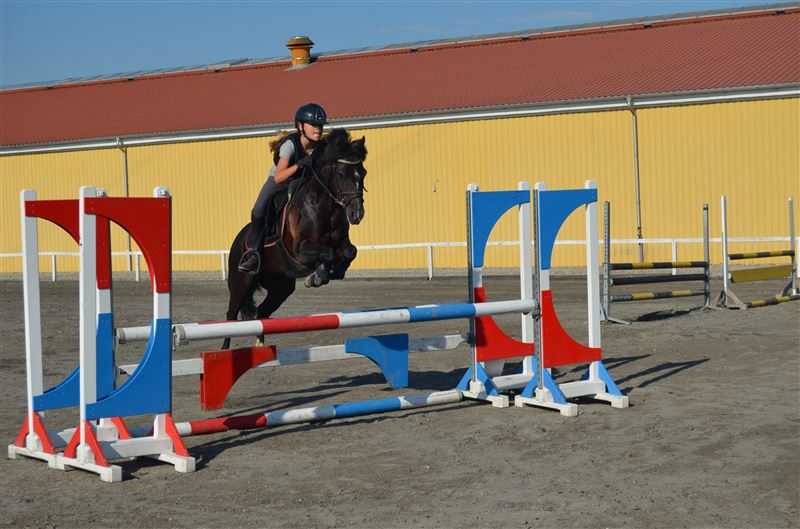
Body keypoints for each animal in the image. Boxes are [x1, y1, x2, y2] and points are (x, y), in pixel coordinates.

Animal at [223, 128, 367, 349]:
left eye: (363, 173)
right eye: (341, 174)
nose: (357, 214)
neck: (326, 207)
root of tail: (238, 239)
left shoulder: (342, 243)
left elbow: (350, 251)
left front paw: (335, 271)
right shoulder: (300, 250)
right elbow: (327, 253)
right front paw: (318, 275)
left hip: (280, 286)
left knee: (262, 312)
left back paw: (261, 345)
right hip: (241, 281)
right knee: (231, 316)